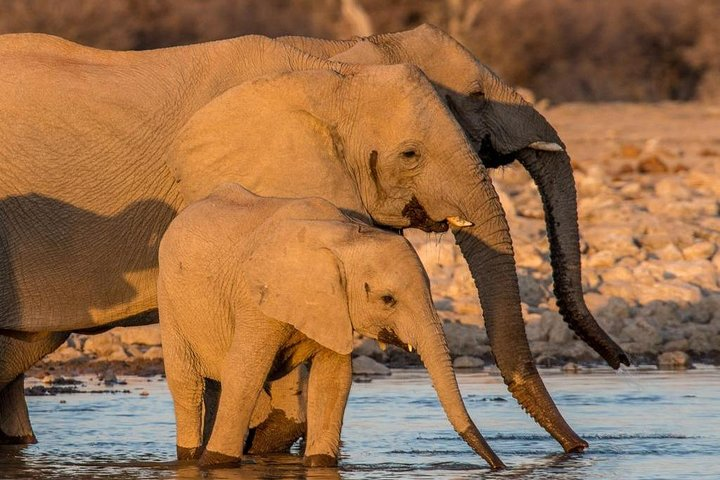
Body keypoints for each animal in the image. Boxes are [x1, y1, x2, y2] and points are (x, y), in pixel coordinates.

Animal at [157, 183, 505, 469]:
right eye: (388, 299)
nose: (498, 465)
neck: (345, 237)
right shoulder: (256, 302)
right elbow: (244, 374)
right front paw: (217, 463)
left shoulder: (332, 307)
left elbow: (333, 380)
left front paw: (320, 463)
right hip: (171, 303)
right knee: (189, 384)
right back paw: (190, 457)